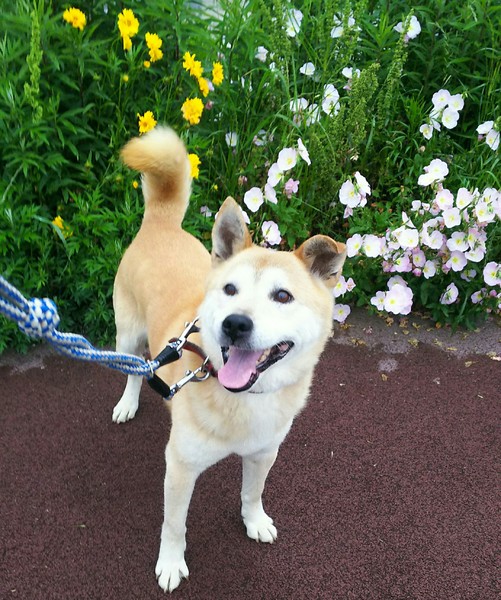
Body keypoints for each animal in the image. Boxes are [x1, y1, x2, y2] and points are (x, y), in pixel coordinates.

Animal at [111, 126, 347, 592]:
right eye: (230, 289)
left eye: (282, 296)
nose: (235, 324)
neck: (243, 400)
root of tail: (161, 222)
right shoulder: (179, 466)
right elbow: (174, 525)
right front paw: (171, 563)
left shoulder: (264, 452)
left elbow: (252, 493)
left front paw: (254, 522)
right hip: (127, 334)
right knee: (133, 370)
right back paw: (128, 403)